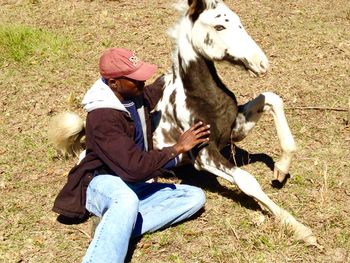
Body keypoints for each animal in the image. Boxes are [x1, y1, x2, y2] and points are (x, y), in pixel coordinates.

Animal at [48, 0, 318, 248]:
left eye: (239, 20)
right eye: (219, 26)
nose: (261, 64)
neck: (202, 96)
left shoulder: (233, 130)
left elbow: (272, 98)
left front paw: (280, 170)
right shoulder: (205, 155)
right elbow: (246, 180)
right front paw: (299, 228)